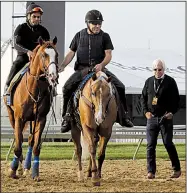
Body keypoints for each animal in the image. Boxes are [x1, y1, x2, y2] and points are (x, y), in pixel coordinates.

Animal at [3, 36, 59, 181]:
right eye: (44, 54)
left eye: (56, 54)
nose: (53, 76)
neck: (35, 89)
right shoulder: (19, 118)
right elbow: (18, 145)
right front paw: (12, 170)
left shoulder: (41, 118)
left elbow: (36, 146)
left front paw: (35, 173)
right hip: (12, 116)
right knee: (19, 139)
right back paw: (19, 167)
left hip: (32, 120)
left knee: (29, 140)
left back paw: (27, 168)